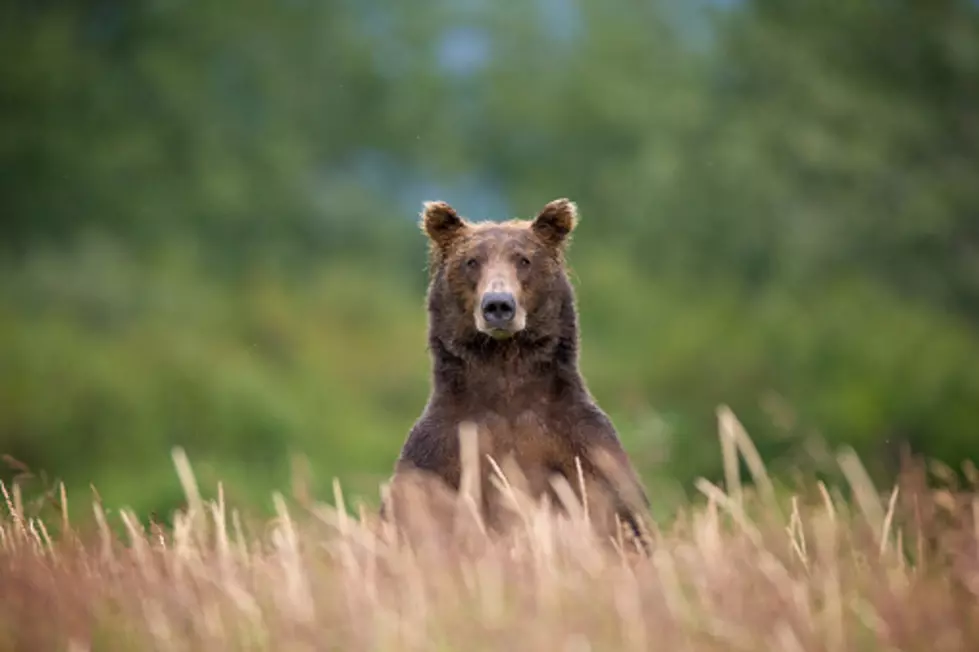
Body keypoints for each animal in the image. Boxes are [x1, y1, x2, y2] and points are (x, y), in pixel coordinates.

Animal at [382, 197, 652, 544]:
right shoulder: (438, 454)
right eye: (471, 261)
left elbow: (624, 518)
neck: (505, 368)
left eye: (524, 259)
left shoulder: (582, 446)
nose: (498, 305)